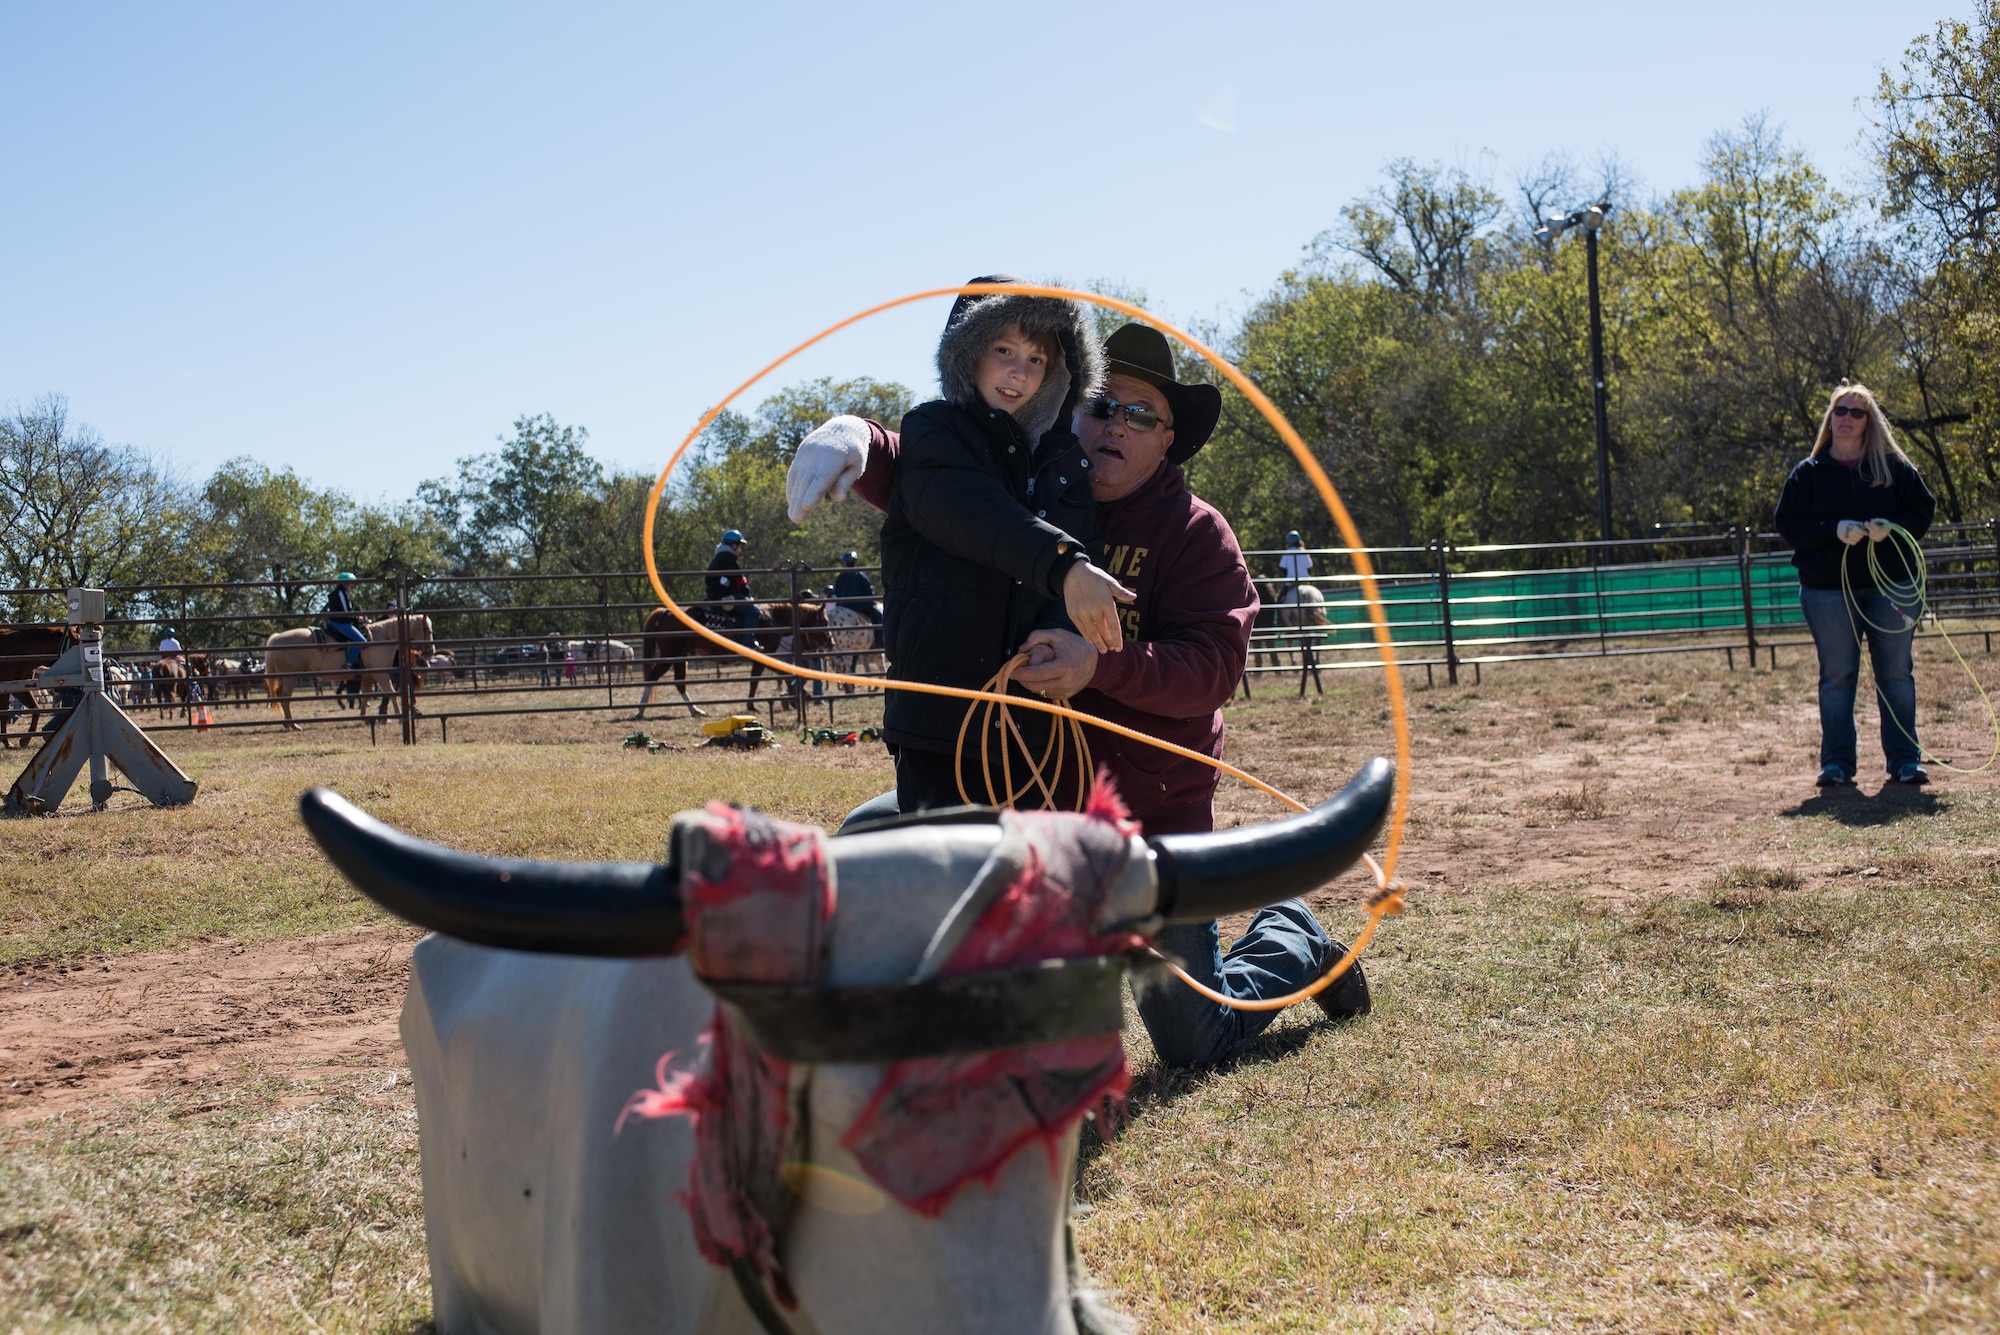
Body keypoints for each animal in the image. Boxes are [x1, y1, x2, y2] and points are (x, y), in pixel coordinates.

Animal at [266, 615, 434, 731]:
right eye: (427, 629)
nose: (431, 650)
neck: (381, 637)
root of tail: (277, 637)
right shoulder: (381, 674)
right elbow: (391, 692)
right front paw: (399, 717)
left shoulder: (368, 676)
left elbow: (365, 695)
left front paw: (364, 718)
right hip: (290, 677)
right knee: (285, 698)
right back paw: (293, 725)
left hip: (285, 678)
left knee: (280, 697)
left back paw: (287, 724)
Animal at [636, 595, 832, 715]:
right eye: (824, 620)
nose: (831, 643)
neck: (772, 618)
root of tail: (665, 612)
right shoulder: (765, 654)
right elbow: (771, 675)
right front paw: (796, 699)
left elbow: (764, 677)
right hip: (670, 655)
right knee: (654, 676)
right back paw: (640, 710)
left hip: (680, 657)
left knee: (679, 682)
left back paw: (696, 711)